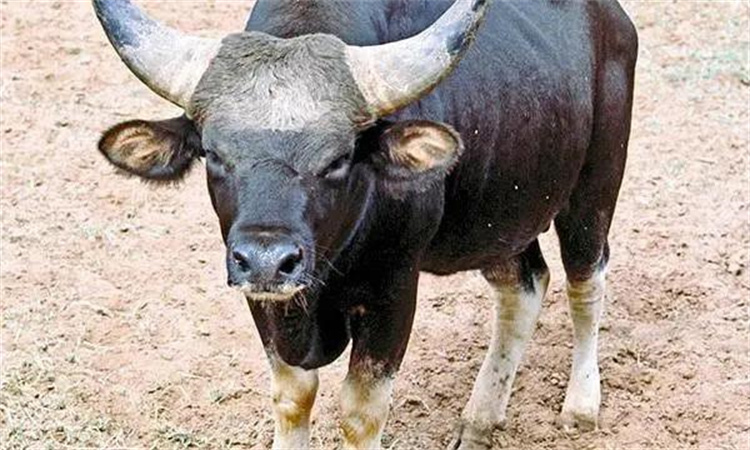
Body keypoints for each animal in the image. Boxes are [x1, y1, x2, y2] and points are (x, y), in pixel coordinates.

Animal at [92, 0, 637, 448]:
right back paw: (479, 420)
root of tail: (614, 22)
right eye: (214, 153)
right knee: (523, 286)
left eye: (338, 158)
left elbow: (361, 413)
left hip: (594, 190)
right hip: (500, 217)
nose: (268, 260)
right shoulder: (262, 301)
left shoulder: (392, 291)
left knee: (586, 280)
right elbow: (292, 395)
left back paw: (581, 405)